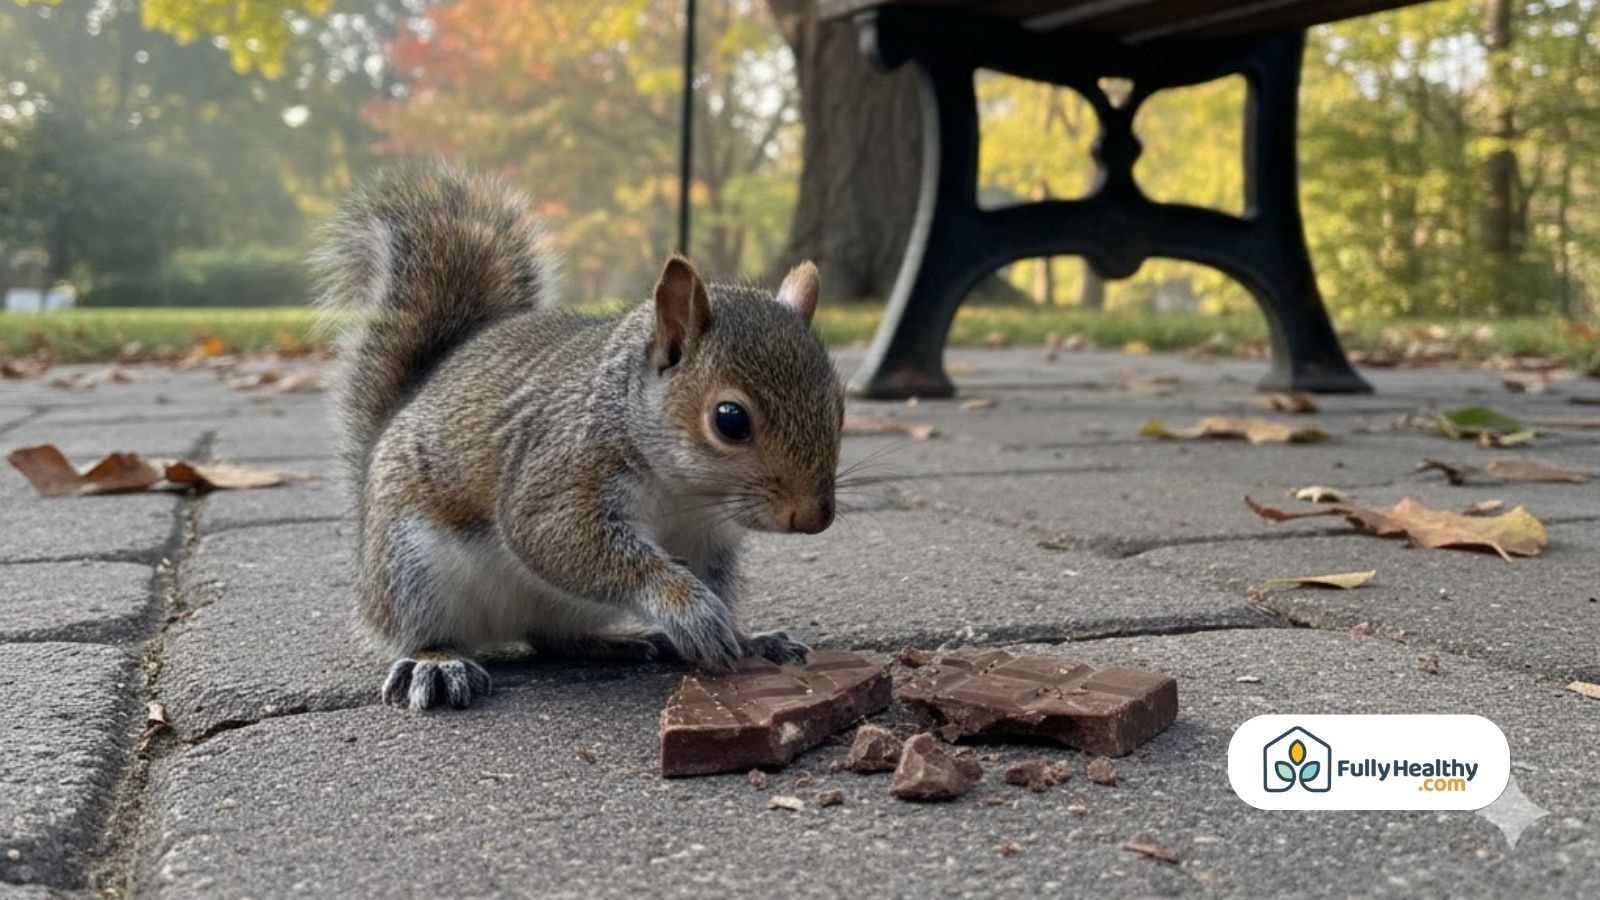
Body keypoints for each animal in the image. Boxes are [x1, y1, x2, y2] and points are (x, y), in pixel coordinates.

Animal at [312, 163, 842, 711]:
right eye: (730, 420)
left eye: (840, 405)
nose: (815, 517)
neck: (686, 493)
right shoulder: (561, 471)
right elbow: (560, 539)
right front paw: (689, 610)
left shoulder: (706, 540)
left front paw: (747, 639)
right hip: (413, 568)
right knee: (423, 631)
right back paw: (436, 662)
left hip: (558, 606)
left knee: (552, 638)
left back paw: (620, 641)